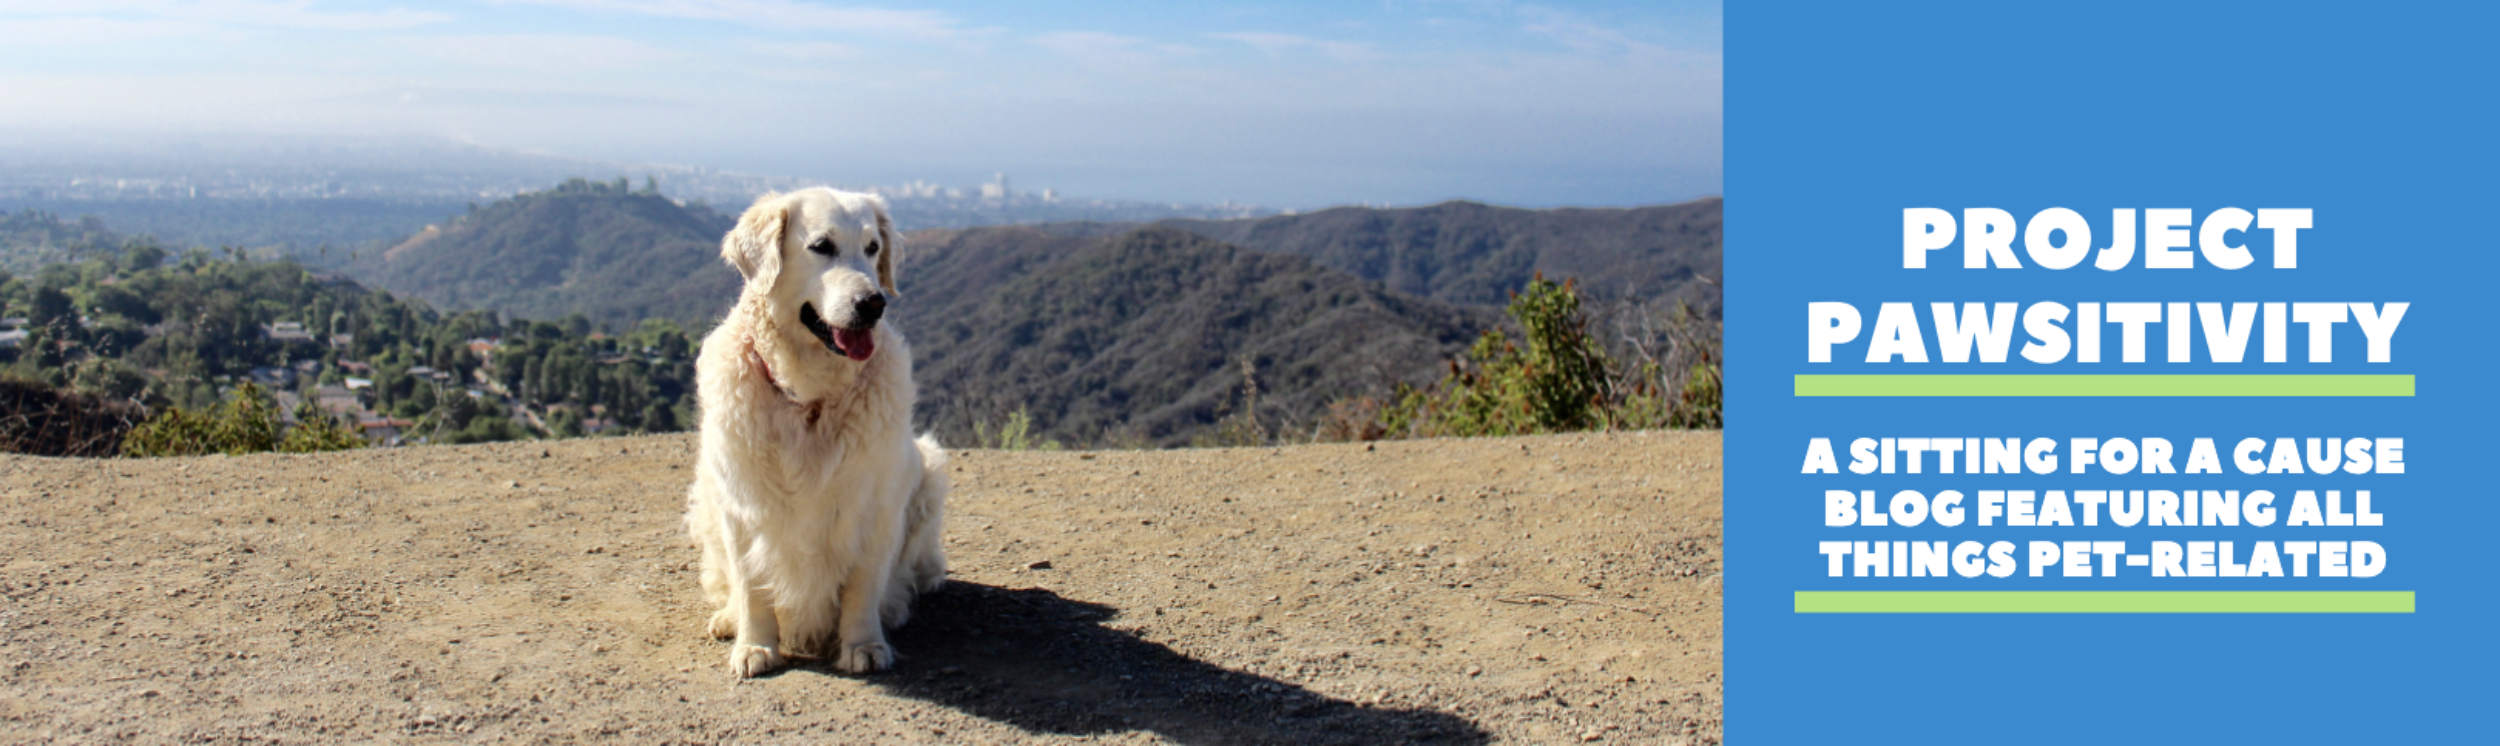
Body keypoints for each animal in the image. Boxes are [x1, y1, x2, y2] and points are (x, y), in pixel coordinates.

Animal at [685, 185, 945, 675]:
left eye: (873, 248)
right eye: (822, 246)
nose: (874, 303)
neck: (808, 399)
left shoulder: (875, 504)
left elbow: (863, 583)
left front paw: (864, 644)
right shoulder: (741, 503)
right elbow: (750, 585)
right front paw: (755, 645)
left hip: (930, 470)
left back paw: (898, 606)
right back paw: (728, 618)